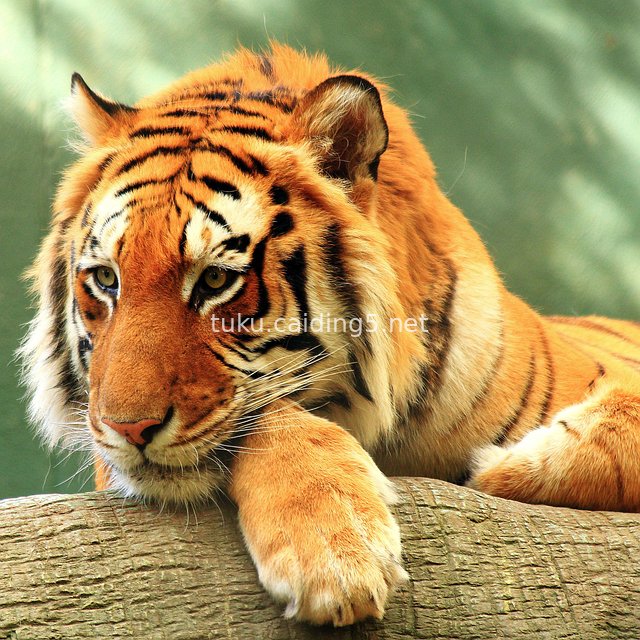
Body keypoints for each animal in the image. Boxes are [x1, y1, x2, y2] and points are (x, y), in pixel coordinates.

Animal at [19, 43, 640, 627]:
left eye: (216, 279)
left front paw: (503, 466)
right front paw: (333, 554)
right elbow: (271, 414)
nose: (127, 429)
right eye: (106, 279)